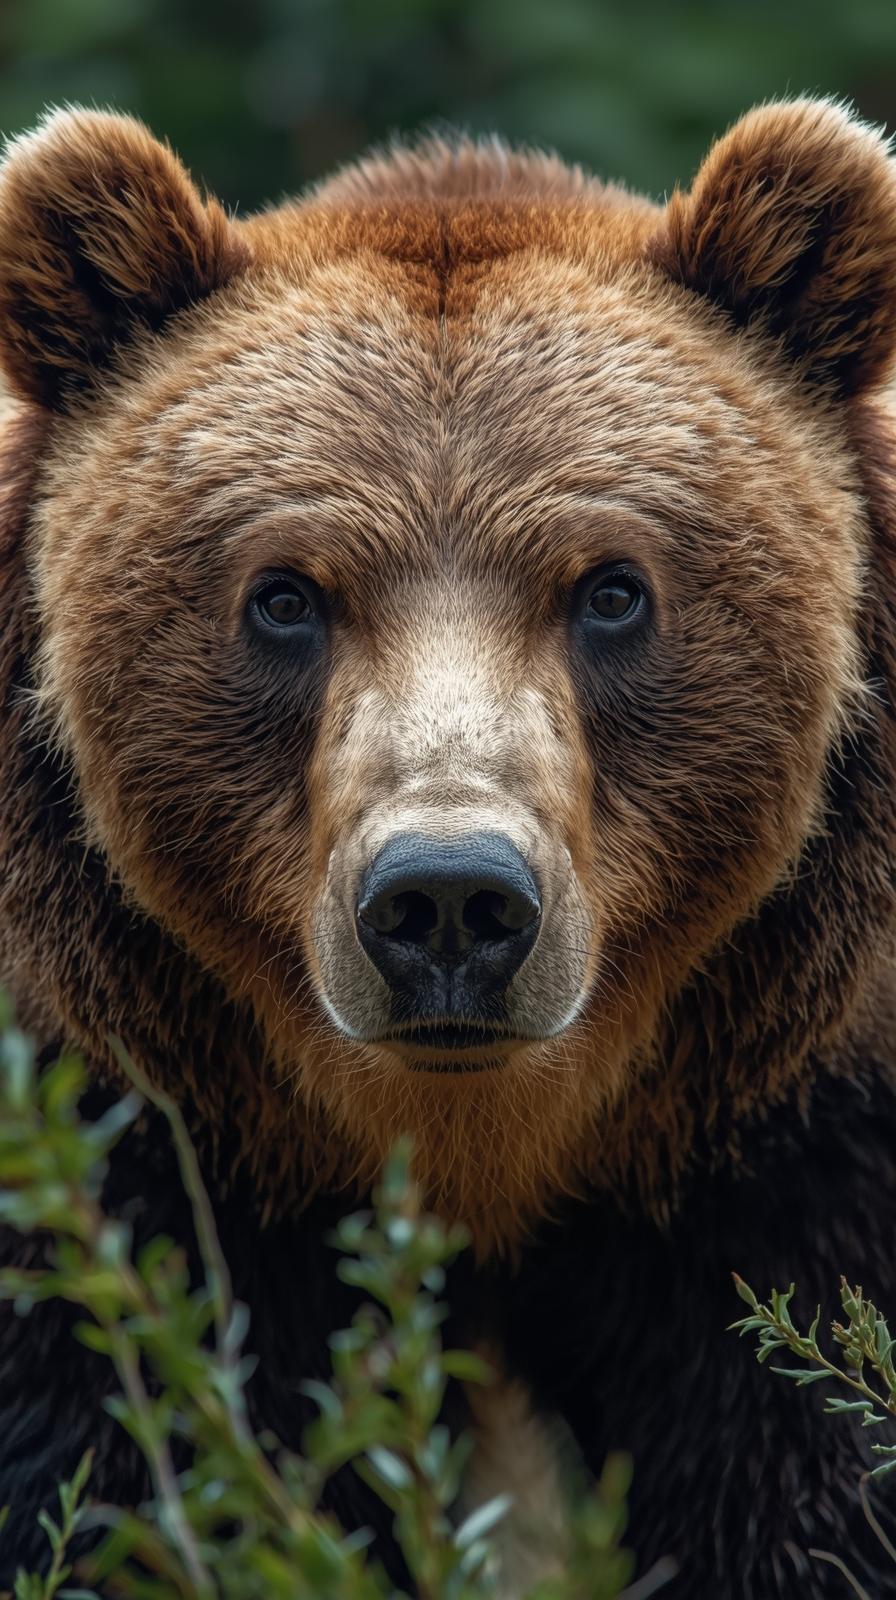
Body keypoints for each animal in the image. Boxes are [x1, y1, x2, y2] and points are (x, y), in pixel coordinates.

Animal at [1, 94, 896, 1597]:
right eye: (284, 596)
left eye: (612, 589)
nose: (449, 902)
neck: (485, 1147)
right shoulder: (140, 1133)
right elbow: (122, 1457)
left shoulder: (789, 1131)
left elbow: (812, 1463)